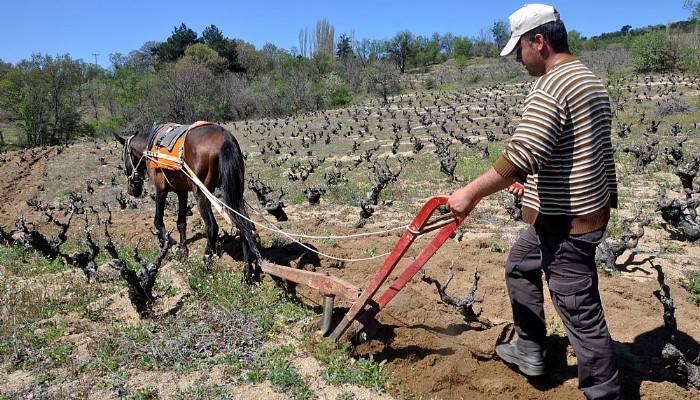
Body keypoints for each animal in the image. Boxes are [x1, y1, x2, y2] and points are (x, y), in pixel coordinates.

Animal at [115, 123, 262, 282]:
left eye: (123, 157)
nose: (132, 190)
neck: (150, 145)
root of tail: (226, 139)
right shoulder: (182, 192)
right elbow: (181, 223)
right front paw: (183, 249)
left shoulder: (160, 189)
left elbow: (158, 221)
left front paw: (171, 244)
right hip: (234, 191)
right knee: (244, 225)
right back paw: (247, 273)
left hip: (201, 193)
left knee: (212, 227)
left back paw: (205, 265)